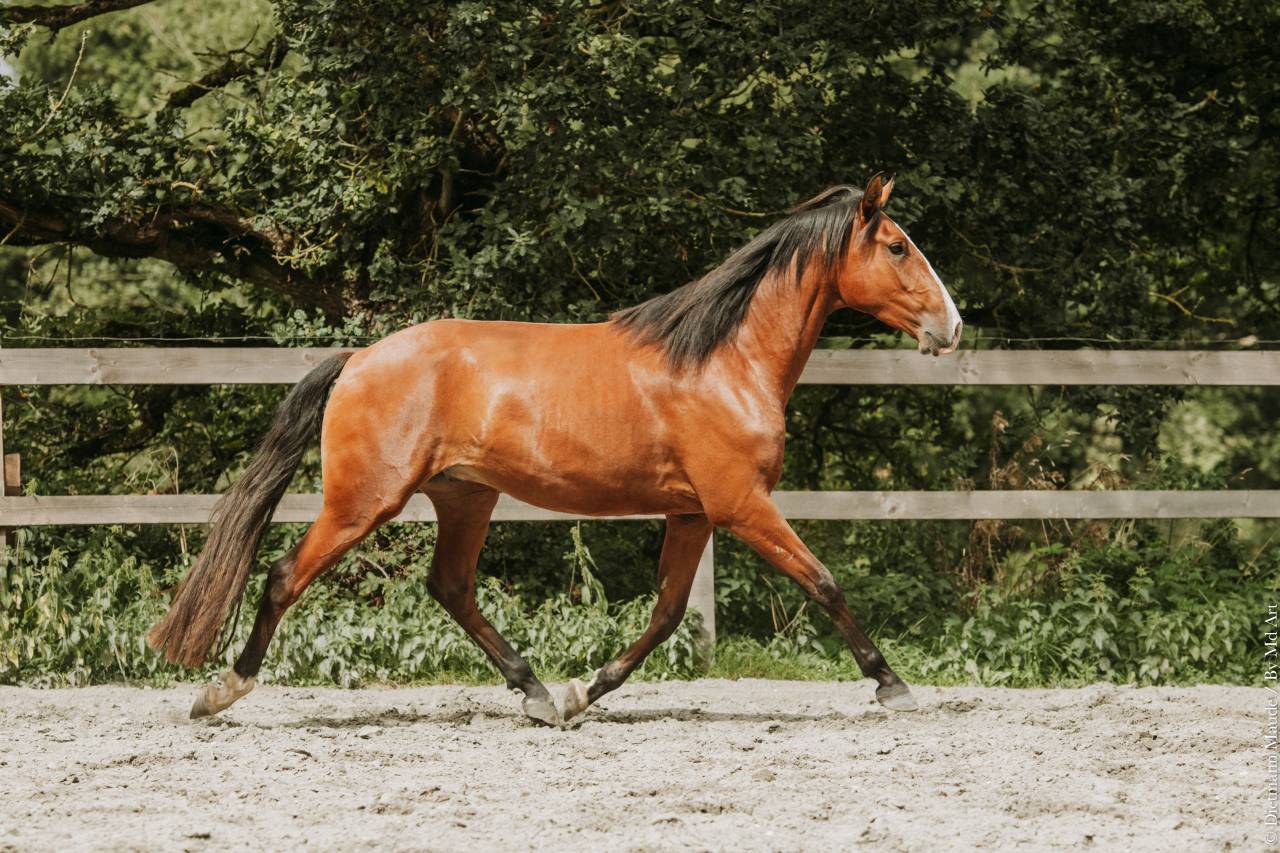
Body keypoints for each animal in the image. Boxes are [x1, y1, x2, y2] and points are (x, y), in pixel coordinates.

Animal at [148, 174, 963, 725]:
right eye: (897, 246)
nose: (951, 327)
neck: (723, 362)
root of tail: (357, 359)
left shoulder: (694, 513)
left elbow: (667, 613)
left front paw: (582, 692)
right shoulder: (741, 505)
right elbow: (823, 582)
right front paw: (893, 684)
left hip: (465, 496)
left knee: (451, 587)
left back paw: (536, 692)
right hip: (363, 502)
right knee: (286, 575)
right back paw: (220, 691)